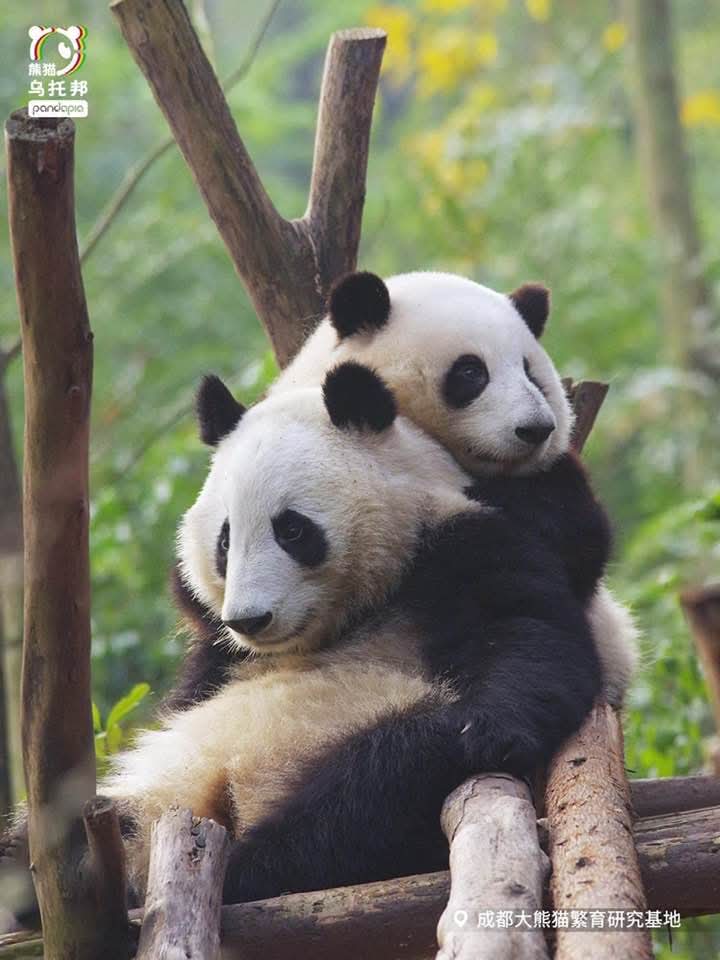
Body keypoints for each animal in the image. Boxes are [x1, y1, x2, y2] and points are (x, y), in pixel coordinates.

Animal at [1, 360, 603, 920]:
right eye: (225, 540)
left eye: (291, 529)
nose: (248, 619)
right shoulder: (217, 657)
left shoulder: (465, 545)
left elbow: (535, 639)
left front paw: (484, 727)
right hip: (160, 798)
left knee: (374, 787)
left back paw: (255, 863)